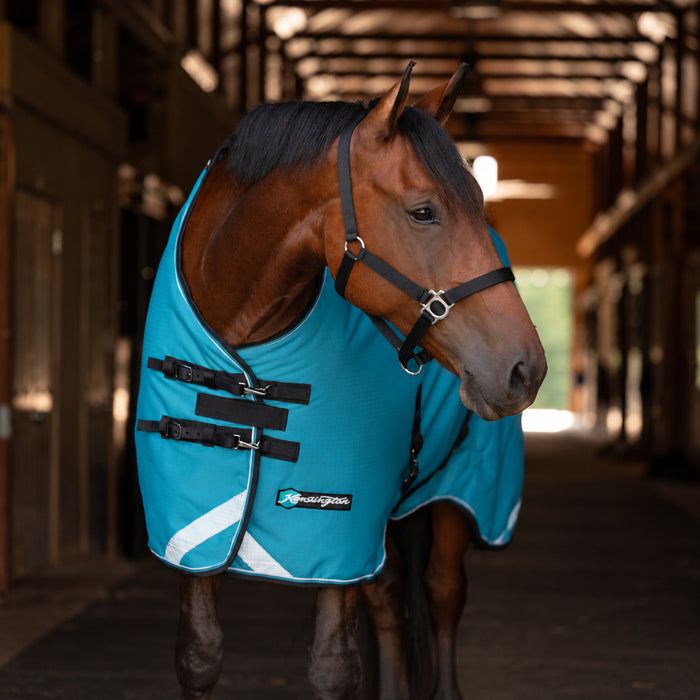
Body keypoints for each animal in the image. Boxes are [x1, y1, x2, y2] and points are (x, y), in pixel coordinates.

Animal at [134, 62, 546, 699]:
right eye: (423, 211)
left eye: (479, 203)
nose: (526, 367)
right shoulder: (187, 530)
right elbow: (199, 655)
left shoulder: (339, 531)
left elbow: (333, 667)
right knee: (391, 602)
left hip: (459, 491)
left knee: (442, 593)